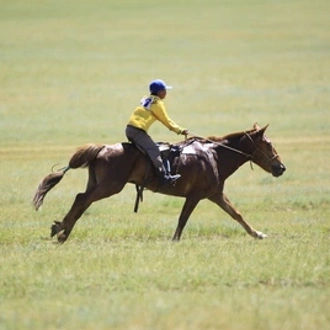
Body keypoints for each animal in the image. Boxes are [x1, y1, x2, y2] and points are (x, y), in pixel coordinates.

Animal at [33, 123, 286, 242]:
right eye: (268, 144)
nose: (281, 167)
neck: (213, 156)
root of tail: (102, 148)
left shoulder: (214, 194)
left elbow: (237, 214)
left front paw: (258, 234)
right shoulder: (195, 196)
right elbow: (183, 219)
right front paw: (174, 241)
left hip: (97, 184)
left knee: (81, 200)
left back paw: (62, 231)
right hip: (109, 186)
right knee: (82, 200)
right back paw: (61, 230)